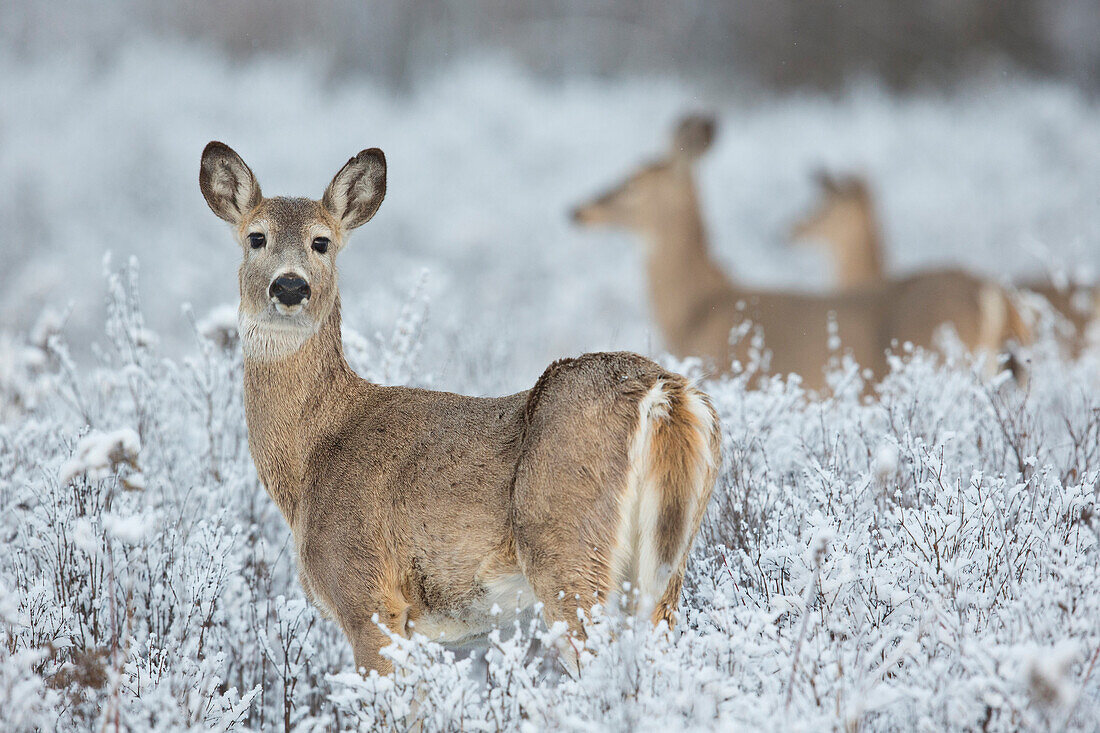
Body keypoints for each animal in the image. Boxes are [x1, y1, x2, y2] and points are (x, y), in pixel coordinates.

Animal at [200, 138, 721, 673]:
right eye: (256, 237)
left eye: (321, 242)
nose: (289, 286)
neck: (313, 455)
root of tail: (665, 393)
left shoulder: (366, 593)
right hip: (666, 567)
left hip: (569, 550)